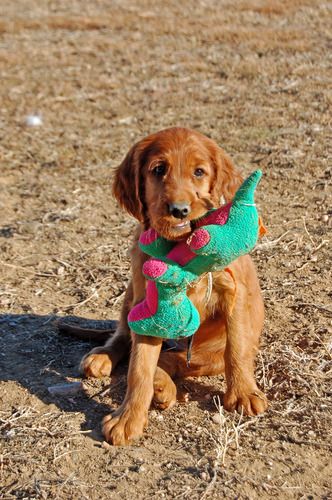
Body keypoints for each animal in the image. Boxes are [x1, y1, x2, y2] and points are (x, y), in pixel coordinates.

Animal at [80, 128, 268, 446]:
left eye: (199, 172)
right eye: (158, 170)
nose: (180, 210)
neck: (180, 248)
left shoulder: (235, 292)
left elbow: (238, 348)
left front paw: (243, 393)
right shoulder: (149, 304)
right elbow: (138, 367)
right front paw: (128, 418)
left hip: (209, 353)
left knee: (180, 360)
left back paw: (163, 384)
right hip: (130, 295)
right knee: (126, 337)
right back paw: (106, 359)